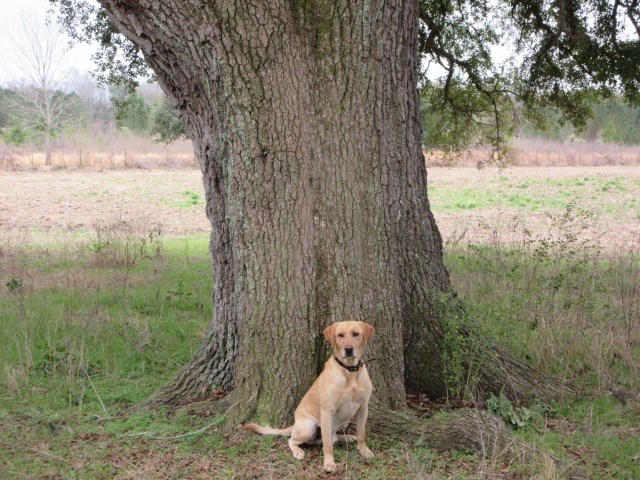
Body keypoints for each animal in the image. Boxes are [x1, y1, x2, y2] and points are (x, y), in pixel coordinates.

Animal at [244, 320, 376, 470]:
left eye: (356, 334)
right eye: (340, 335)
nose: (348, 349)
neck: (349, 371)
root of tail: (294, 425)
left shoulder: (363, 408)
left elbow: (361, 434)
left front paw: (364, 450)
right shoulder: (327, 410)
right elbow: (327, 444)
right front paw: (329, 463)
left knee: (333, 437)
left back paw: (348, 437)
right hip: (309, 426)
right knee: (295, 440)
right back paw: (298, 451)